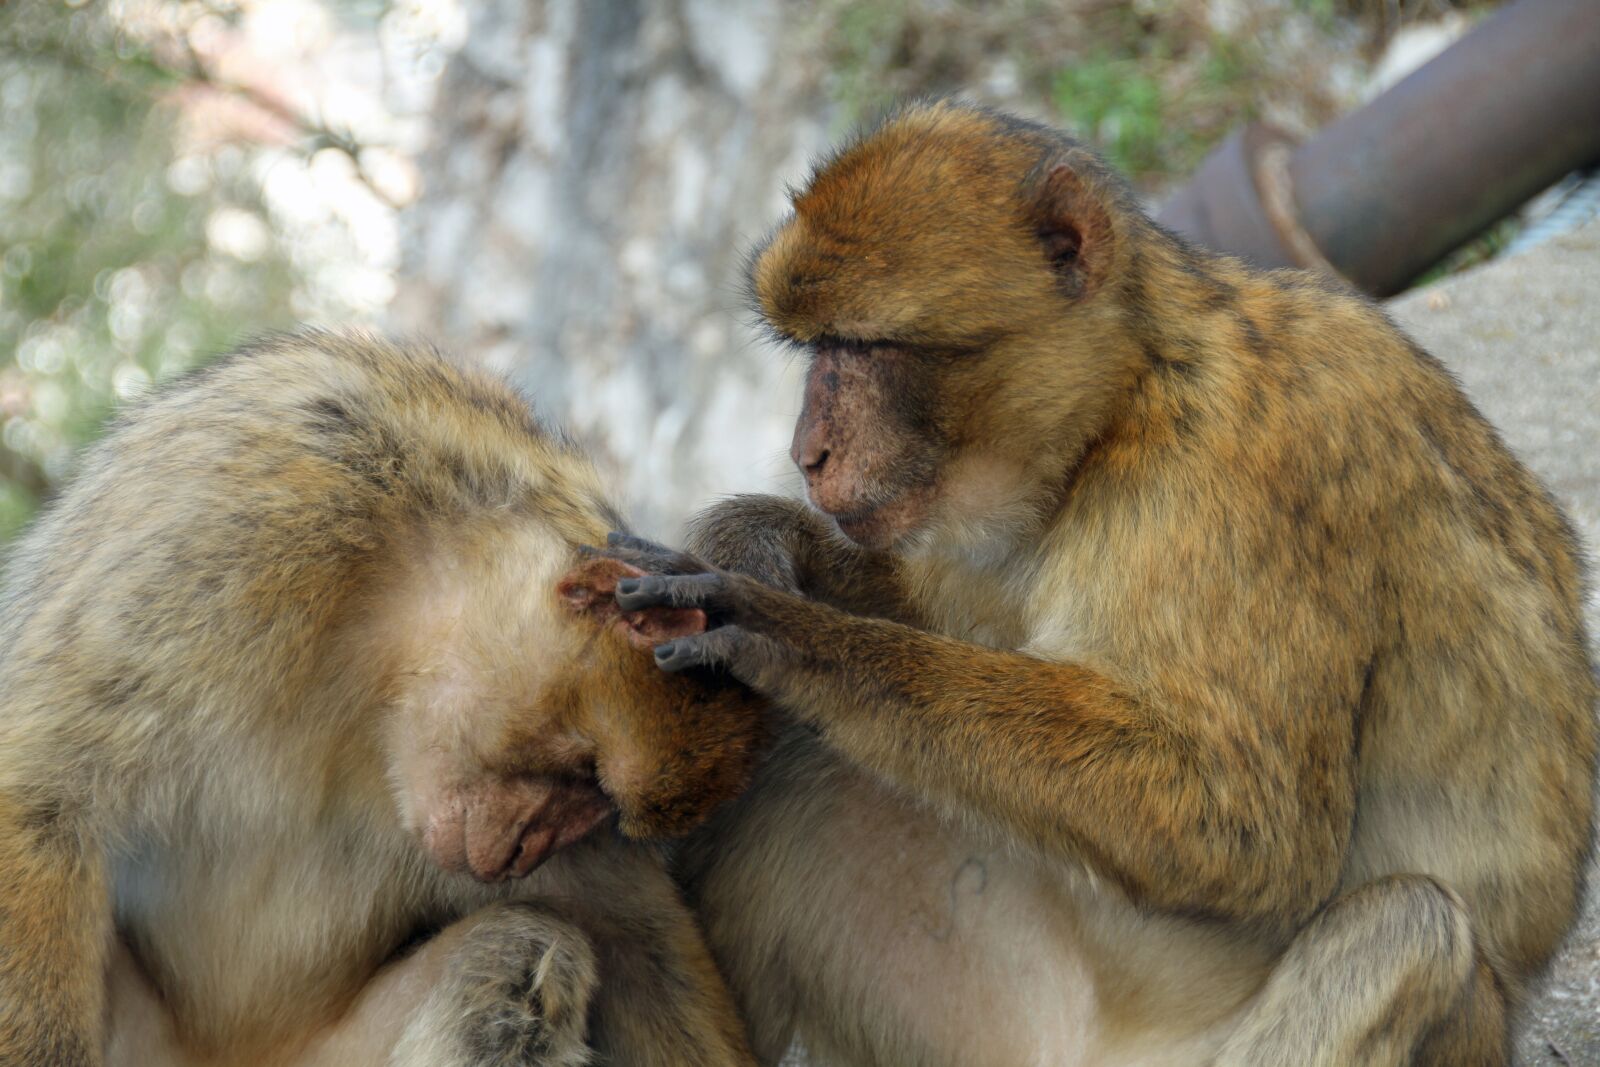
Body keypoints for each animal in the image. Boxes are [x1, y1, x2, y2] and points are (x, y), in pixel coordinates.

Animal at [0, 330, 766, 1067]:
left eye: (598, 808)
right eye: (583, 775)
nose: (520, 853)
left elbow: (633, 937)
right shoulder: (239, 530)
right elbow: (43, 799)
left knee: (518, 951)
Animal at [595, 100, 1598, 1067]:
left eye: (867, 346)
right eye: (816, 348)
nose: (809, 453)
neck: (1130, 394)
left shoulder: (1240, 476)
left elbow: (1245, 825)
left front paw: (781, 630)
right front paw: (753, 539)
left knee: (1408, 930)